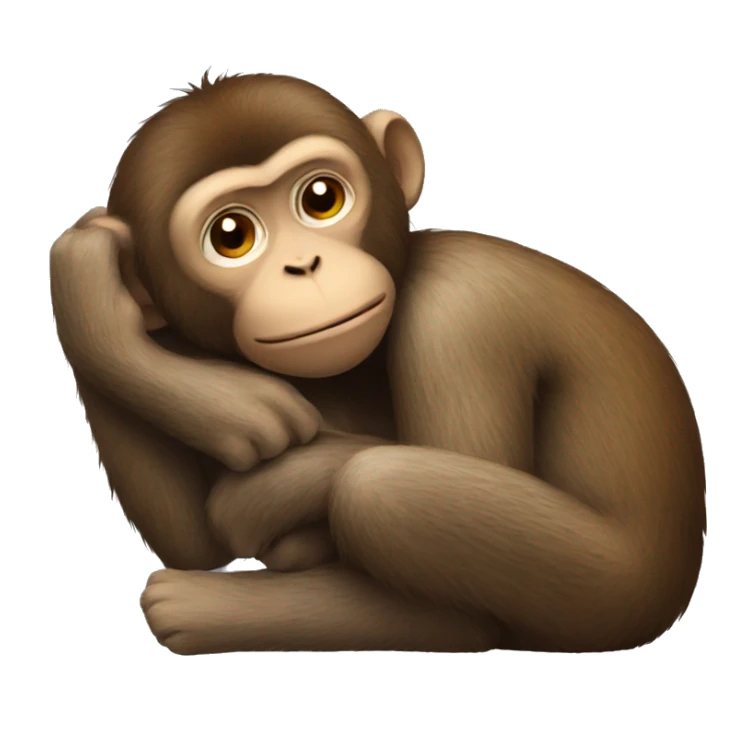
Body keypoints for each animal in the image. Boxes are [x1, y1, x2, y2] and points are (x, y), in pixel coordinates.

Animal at [50, 72, 706, 656]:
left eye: (322, 199)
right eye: (232, 235)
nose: (304, 265)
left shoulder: (461, 312)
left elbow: (455, 619)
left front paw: (251, 529)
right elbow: (192, 544)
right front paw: (88, 281)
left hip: (611, 588)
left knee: (377, 487)